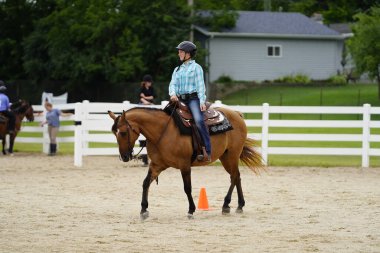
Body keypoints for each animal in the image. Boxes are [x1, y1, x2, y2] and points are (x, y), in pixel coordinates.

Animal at [108, 103, 264, 219]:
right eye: (114, 133)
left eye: (123, 133)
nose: (124, 157)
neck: (163, 131)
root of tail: (236, 113)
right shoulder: (157, 165)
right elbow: (146, 183)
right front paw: (144, 209)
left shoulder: (184, 165)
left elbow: (187, 188)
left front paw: (191, 210)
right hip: (225, 156)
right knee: (236, 177)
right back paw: (238, 205)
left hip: (231, 155)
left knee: (234, 176)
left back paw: (227, 205)